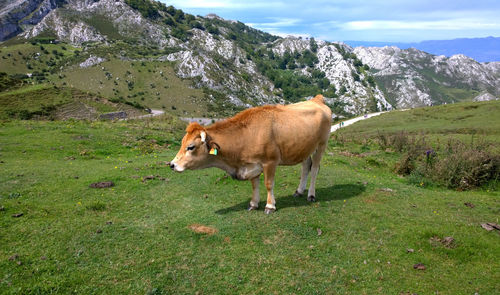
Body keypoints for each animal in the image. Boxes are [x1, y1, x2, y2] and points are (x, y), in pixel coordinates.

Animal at [169, 94, 332, 213]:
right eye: (182, 143)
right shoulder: (252, 164)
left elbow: (268, 184)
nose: (172, 164)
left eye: (190, 147)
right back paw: (299, 191)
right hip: (304, 147)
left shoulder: (270, 161)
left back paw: (311, 194)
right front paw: (253, 204)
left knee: (315, 169)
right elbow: (254, 185)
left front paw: (270, 206)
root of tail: (316, 99)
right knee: (306, 167)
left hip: (321, 145)